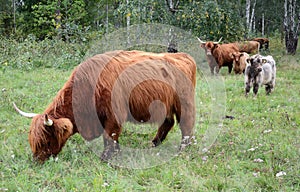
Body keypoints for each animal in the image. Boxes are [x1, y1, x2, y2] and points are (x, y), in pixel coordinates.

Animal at [13, 50, 197, 162]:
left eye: (45, 140)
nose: (37, 160)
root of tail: (183, 56)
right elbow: (111, 138)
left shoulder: (113, 115)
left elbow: (109, 136)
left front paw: (106, 157)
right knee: (168, 122)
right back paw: (154, 144)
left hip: (184, 103)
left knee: (186, 124)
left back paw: (182, 149)